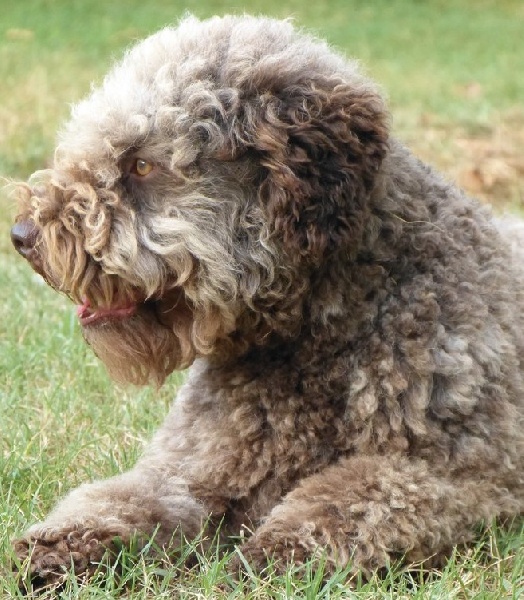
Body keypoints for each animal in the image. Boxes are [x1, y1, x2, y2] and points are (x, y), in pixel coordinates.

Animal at [9, 12, 524, 584]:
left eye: (141, 165)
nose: (23, 235)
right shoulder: (192, 467)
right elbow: (131, 497)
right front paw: (62, 542)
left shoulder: (466, 479)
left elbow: (356, 497)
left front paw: (275, 550)